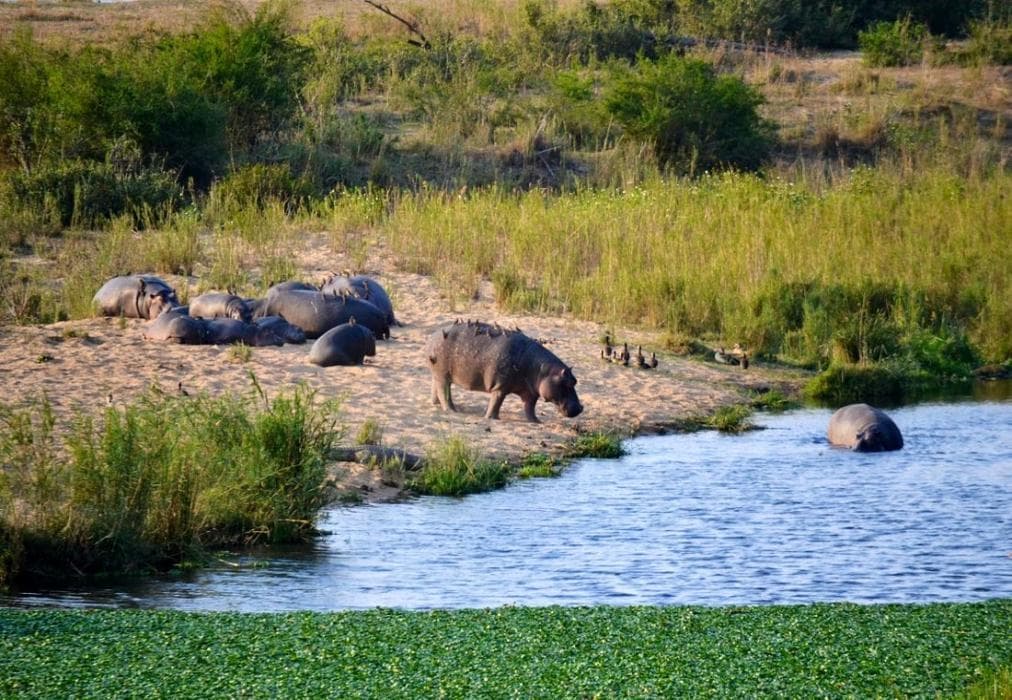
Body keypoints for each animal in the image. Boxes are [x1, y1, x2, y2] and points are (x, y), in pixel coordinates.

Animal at [425, 320, 583, 423]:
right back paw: (451, 410)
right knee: (444, 392)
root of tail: (434, 335)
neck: (543, 369)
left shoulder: (531, 392)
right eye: (566, 383)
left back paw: (436, 404)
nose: (580, 408)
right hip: (443, 375)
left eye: (575, 381)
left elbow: (530, 407)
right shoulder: (500, 387)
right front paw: (492, 418)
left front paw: (536, 422)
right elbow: (496, 402)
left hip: (438, 374)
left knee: (435, 386)